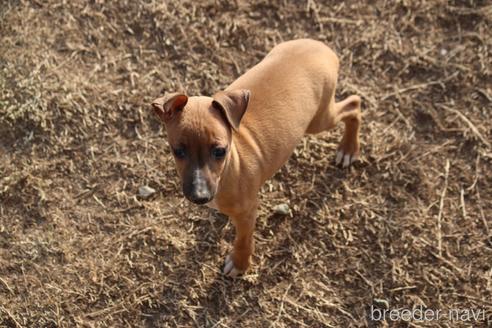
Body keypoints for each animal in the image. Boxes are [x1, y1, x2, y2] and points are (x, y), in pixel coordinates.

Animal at [152, 39, 364, 278]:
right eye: (178, 151)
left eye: (220, 151)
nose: (200, 196)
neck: (231, 166)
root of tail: (321, 47)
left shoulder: (248, 212)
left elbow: (244, 240)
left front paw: (240, 263)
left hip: (319, 119)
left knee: (354, 105)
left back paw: (348, 149)